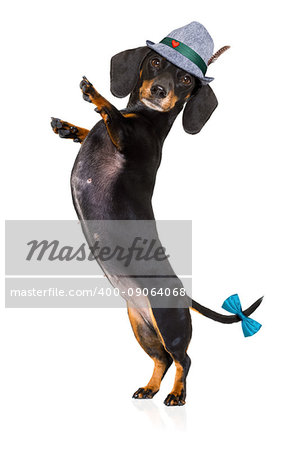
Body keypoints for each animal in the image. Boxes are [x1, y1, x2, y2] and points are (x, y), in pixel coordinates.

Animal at [50, 47, 262, 406]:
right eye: (155, 62)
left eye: (187, 78)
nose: (159, 91)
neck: (145, 118)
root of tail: (184, 295)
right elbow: (94, 127)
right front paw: (68, 128)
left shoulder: (126, 139)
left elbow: (110, 114)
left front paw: (94, 93)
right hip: (142, 327)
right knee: (161, 359)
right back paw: (149, 387)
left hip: (169, 323)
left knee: (184, 359)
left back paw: (177, 394)